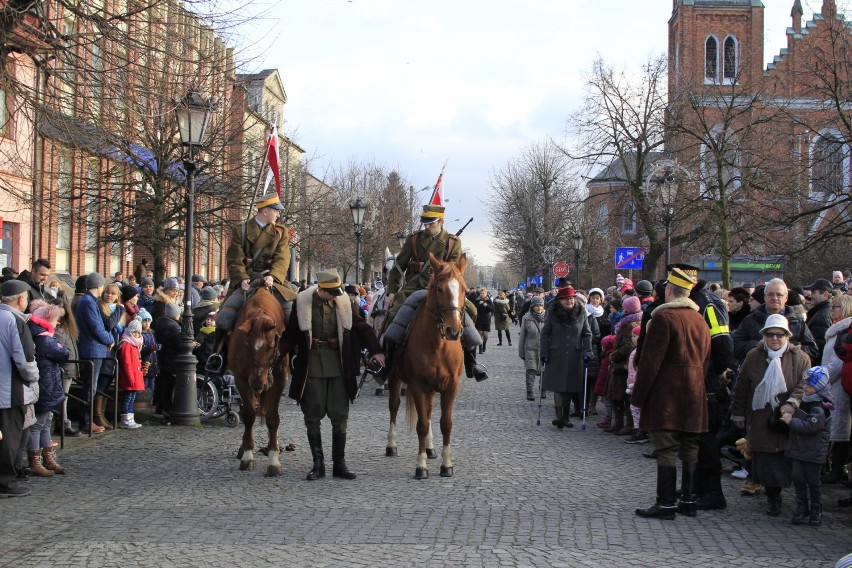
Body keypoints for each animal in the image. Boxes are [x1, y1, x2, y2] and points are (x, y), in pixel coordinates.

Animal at [228, 286, 288, 478]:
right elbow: (249, 415)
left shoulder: (279, 380)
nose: (257, 383)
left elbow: (273, 418)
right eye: (247, 344)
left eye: (270, 346)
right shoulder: (241, 379)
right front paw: (247, 456)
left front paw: (274, 459)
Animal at [386, 251, 466, 478]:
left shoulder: (451, 386)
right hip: (395, 377)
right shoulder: (418, 385)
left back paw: (430, 449)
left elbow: (445, 423)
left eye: (464, 289)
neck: (438, 344)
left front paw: (446, 464)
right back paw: (391, 445)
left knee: (429, 411)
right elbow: (421, 424)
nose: (453, 330)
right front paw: (421, 465)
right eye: (439, 289)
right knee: (394, 406)